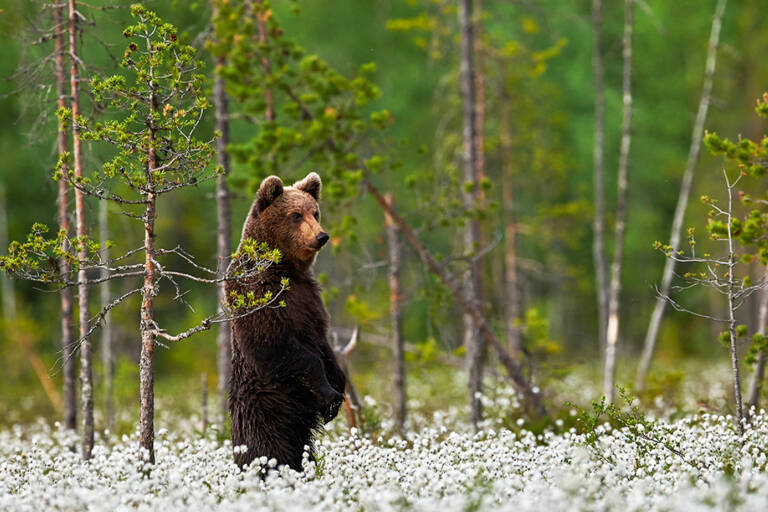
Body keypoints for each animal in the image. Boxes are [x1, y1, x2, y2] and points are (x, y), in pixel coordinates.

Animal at [227, 172, 346, 472]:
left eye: (315, 212)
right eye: (295, 215)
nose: (321, 235)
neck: (284, 268)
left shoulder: (309, 299)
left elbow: (323, 342)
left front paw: (337, 390)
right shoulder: (260, 298)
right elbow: (276, 346)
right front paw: (329, 392)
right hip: (267, 409)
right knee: (270, 450)